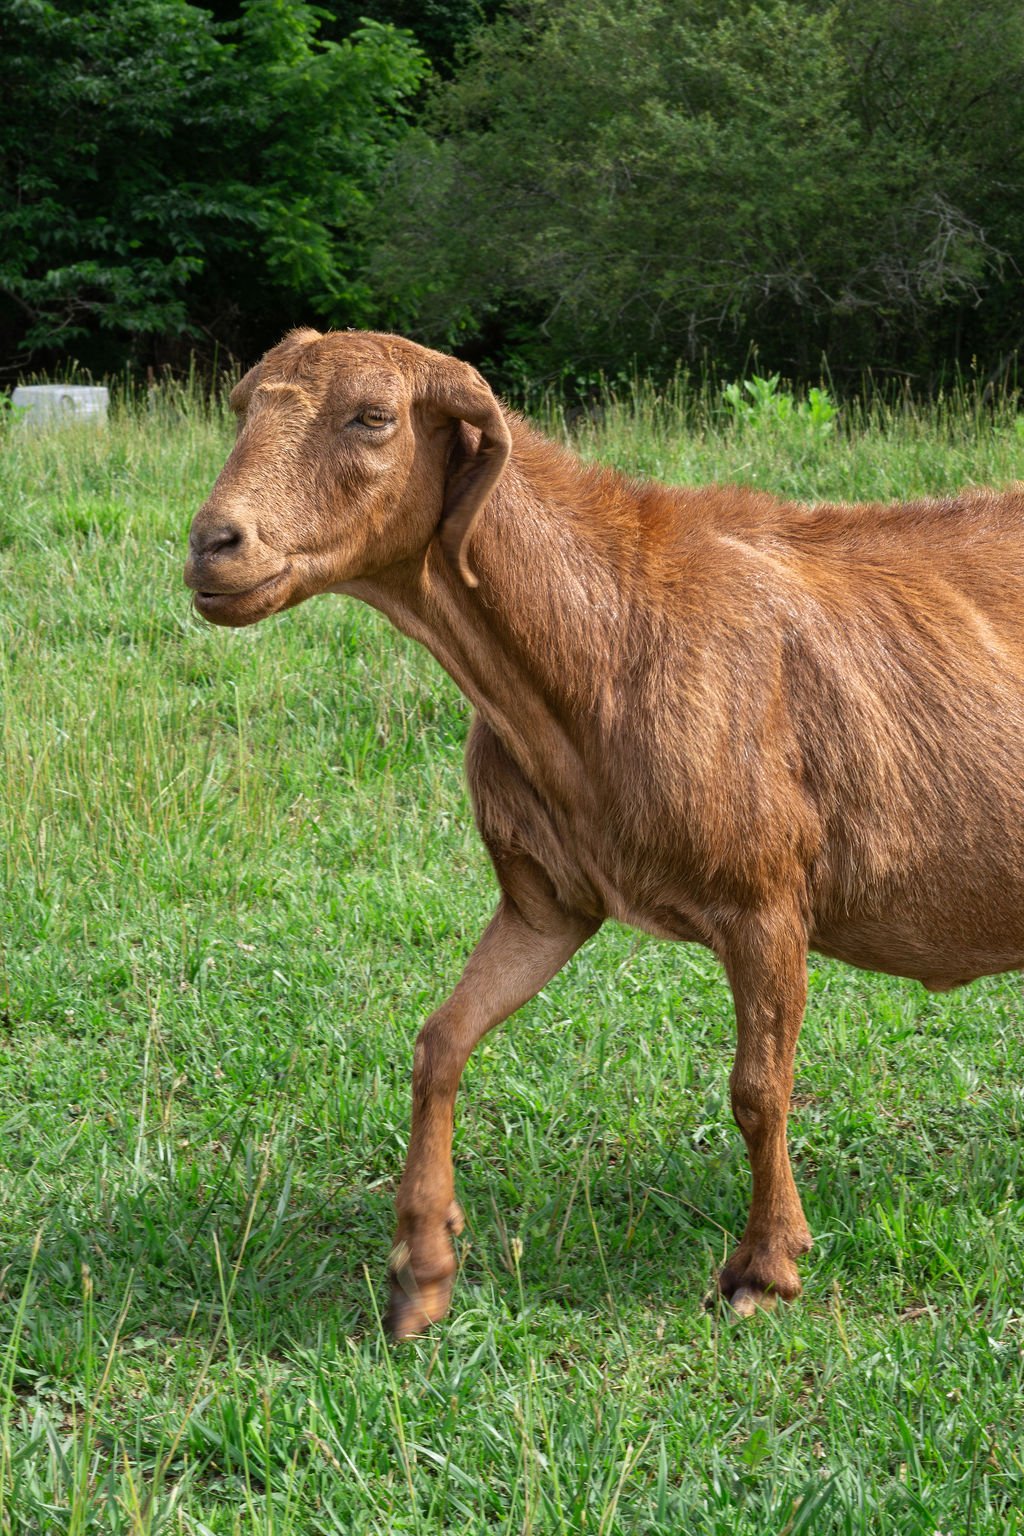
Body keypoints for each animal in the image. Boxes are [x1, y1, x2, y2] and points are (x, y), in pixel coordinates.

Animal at [185, 327, 1024, 1338]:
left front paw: (765, 1267)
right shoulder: (548, 899)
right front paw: (421, 1269)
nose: (213, 547)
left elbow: (758, 1089)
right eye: (242, 405)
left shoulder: (765, 898)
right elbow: (440, 1041)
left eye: (374, 417)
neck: (607, 628)